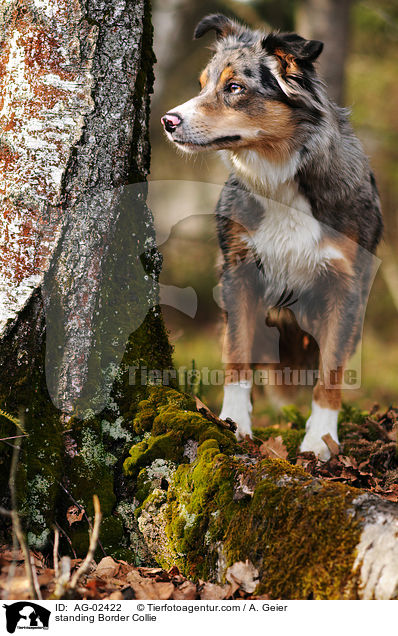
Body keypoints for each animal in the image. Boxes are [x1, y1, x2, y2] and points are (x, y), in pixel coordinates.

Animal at [161, 13, 382, 458]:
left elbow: (331, 371)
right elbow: (236, 353)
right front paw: (234, 423)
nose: (168, 121)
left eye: (234, 88)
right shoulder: (239, 272)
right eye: (202, 84)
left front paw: (320, 440)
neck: (280, 181)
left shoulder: (345, 286)